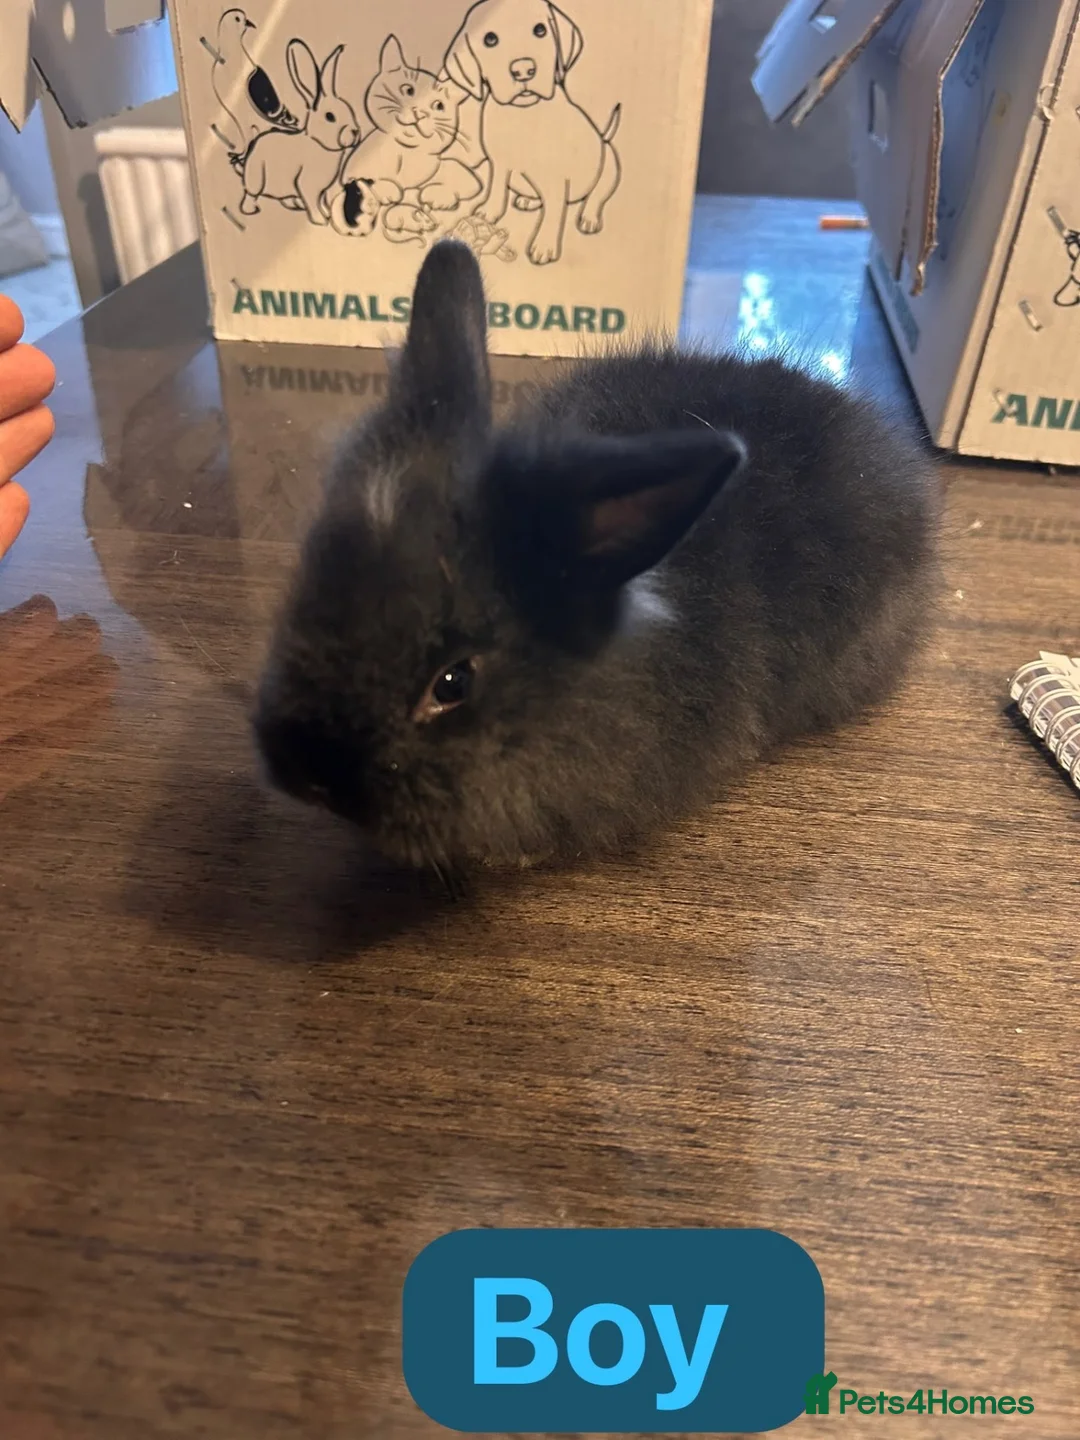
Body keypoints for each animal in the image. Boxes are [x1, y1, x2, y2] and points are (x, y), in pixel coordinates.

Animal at [240, 40, 359, 225]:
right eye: (330, 117)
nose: (354, 132)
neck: (318, 143)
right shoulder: (307, 185)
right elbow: (313, 202)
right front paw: (320, 220)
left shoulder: (320, 191)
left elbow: (320, 202)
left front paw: (327, 214)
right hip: (256, 177)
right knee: (250, 194)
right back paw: (250, 210)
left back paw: (294, 205)